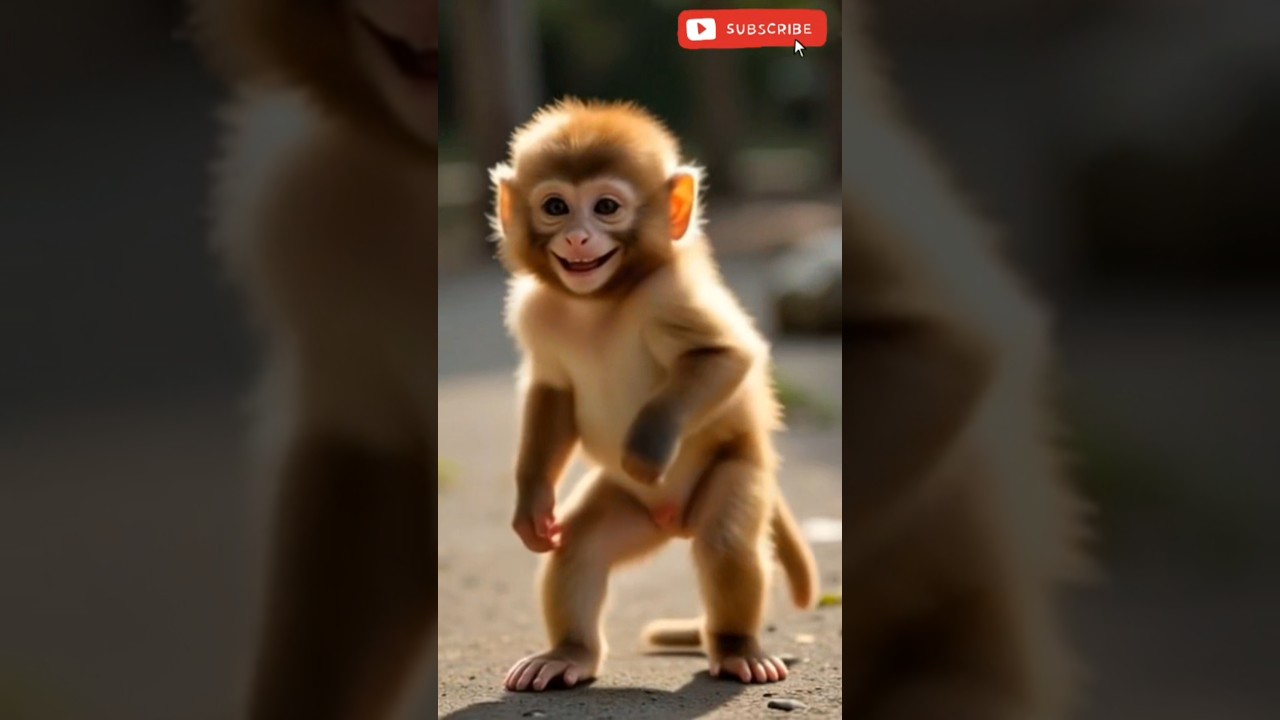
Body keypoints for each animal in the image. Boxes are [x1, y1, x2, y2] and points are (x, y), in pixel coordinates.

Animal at [488, 98, 821, 693]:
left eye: (605, 207)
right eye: (555, 206)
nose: (577, 238)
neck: (599, 302)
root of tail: (674, 521)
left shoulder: (673, 296)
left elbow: (725, 356)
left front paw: (645, 450)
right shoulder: (534, 313)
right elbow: (552, 393)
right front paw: (532, 507)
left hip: (738, 469)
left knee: (726, 542)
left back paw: (737, 649)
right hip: (630, 510)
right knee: (580, 548)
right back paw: (567, 654)